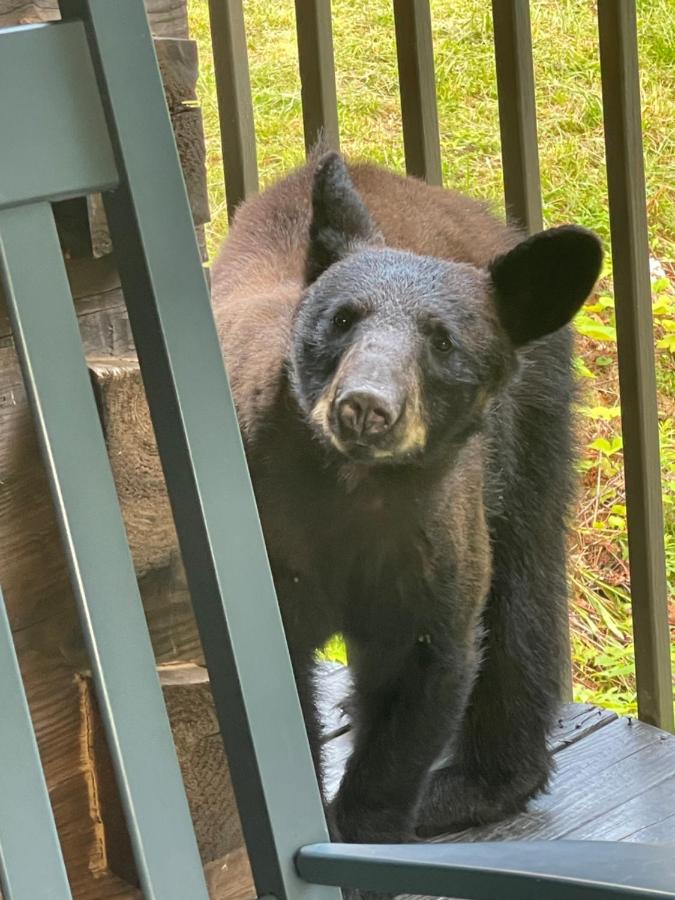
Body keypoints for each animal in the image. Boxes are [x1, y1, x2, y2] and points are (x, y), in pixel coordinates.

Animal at [210, 149, 603, 844]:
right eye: (341, 319)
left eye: (442, 341)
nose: (365, 406)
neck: (353, 495)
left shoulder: (432, 541)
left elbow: (425, 671)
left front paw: (364, 828)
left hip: (531, 432)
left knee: (523, 592)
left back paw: (471, 786)